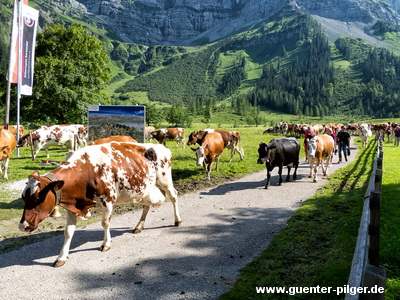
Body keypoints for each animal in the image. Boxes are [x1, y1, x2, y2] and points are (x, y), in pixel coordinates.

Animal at [19, 142, 181, 266]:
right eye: (23, 198)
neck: (85, 170)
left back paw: (177, 220)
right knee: (146, 205)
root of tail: (162, 147)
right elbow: (68, 232)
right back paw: (139, 226)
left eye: (38, 198)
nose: (23, 226)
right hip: (146, 188)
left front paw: (106, 244)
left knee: (173, 196)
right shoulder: (72, 205)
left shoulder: (108, 200)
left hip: (165, 180)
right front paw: (61, 257)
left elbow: (105, 223)